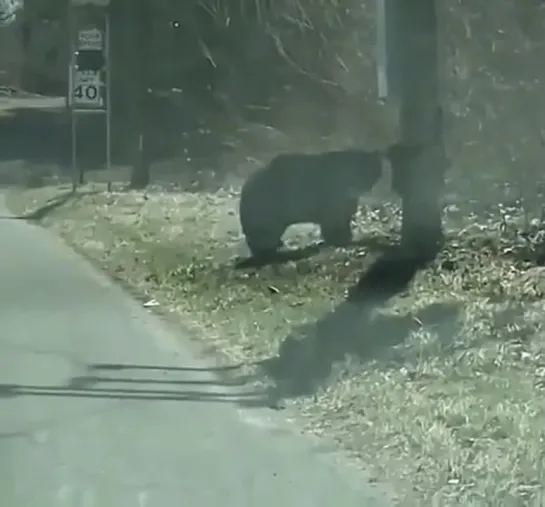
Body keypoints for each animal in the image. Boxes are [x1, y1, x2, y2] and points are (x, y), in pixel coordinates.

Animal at [238, 149, 382, 256]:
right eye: (367, 171)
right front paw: (340, 238)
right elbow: (334, 224)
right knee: (262, 236)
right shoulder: (332, 204)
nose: (367, 185)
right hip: (267, 215)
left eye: (375, 170)